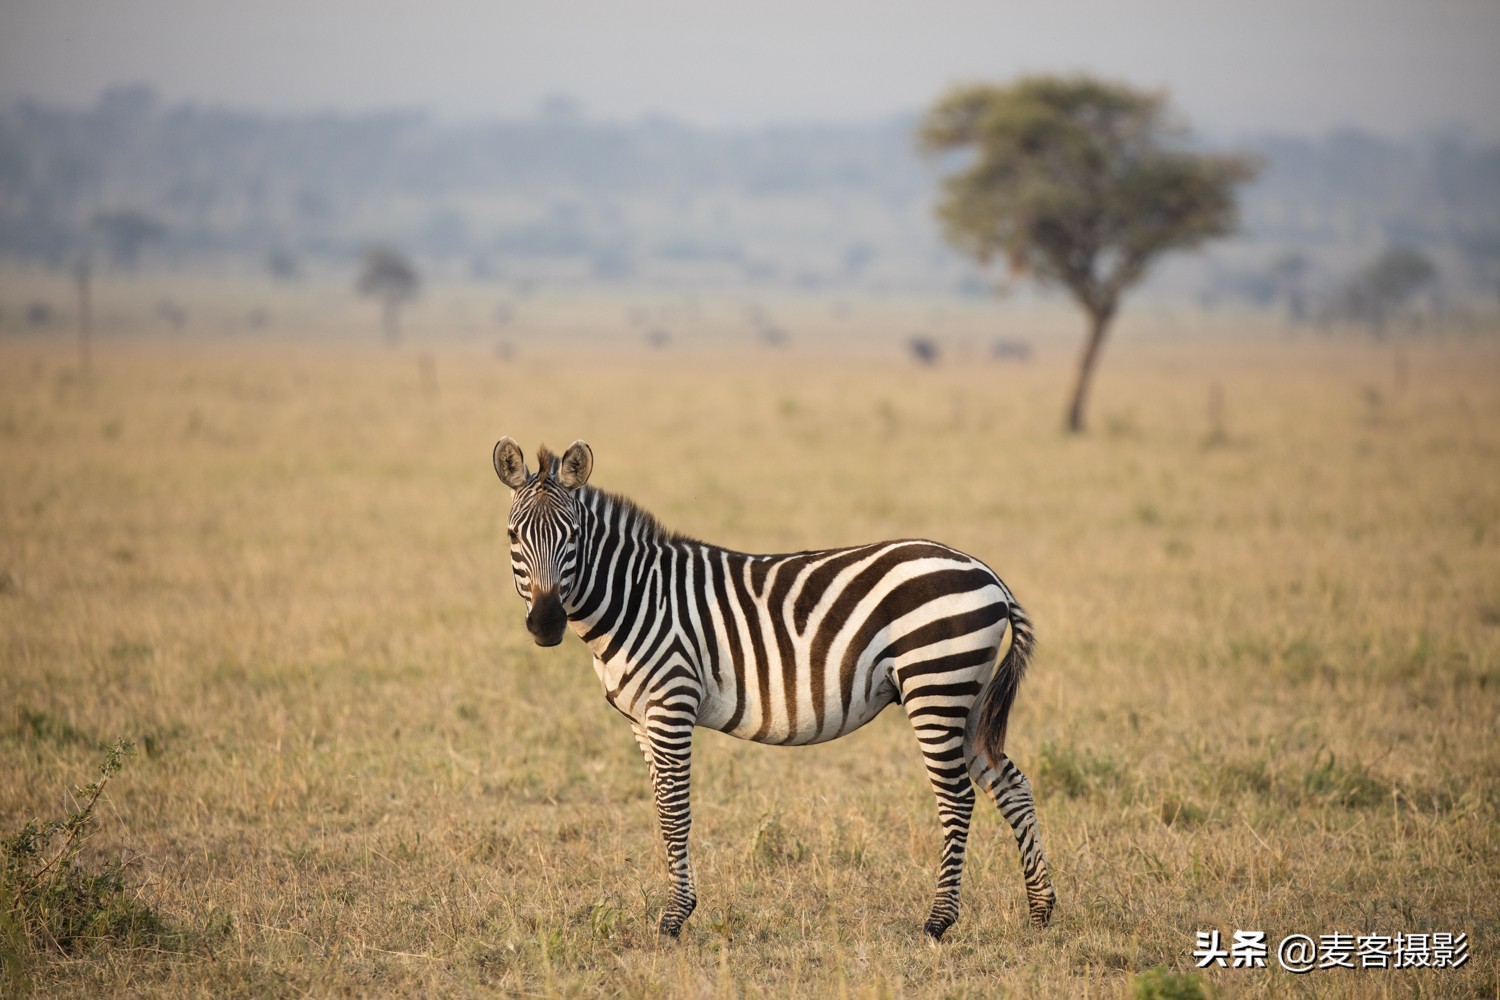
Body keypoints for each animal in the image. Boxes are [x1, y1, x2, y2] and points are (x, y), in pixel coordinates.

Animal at [492, 437, 1056, 941]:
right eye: (514, 536)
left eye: (573, 536)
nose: (545, 624)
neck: (636, 597)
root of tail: (986, 572)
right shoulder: (640, 719)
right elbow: (660, 809)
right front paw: (676, 909)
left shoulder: (672, 704)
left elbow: (675, 813)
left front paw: (674, 920)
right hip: (966, 695)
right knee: (1011, 785)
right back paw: (1040, 911)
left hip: (936, 685)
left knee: (957, 798)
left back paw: (939, 921)